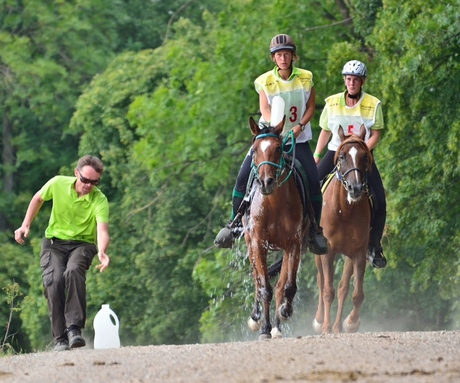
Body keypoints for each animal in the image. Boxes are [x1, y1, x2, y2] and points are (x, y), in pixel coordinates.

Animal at [244, 116, 310, 340]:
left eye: (278, 148)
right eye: (255, 150)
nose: (266, 182)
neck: (273, 205)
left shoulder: (294, 244)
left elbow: (287, 286)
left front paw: (284, 313)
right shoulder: (257, 244)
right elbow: (264, 287)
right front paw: (264, 328)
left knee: (281, 285)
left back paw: (277, 326)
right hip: (250, 244)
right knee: (257, 280)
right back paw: (256, 318)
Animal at [314, 127, 372, 336]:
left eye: (364, 156)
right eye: (342, 156)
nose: (355, 188)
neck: (344, 211)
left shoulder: (358, 254)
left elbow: (355, 294)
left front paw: (350, 323)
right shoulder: (328, 252)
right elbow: (327, 290)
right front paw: (325, 327)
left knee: (342, 288)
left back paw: (339, 325)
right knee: (321, 280)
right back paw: (319, 320)